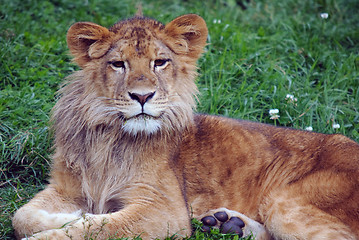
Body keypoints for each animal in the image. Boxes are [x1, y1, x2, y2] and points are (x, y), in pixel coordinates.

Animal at [12, 13, 359, 240]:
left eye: (160, 62)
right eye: (118, 64)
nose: (142, 96)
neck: (108, 136)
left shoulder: (164, 212)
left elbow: (98, 229)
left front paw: (78, 221)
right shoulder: (65, 187)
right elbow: (21, 216)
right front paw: (71, 215)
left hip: (283, 204)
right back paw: (227, 223)